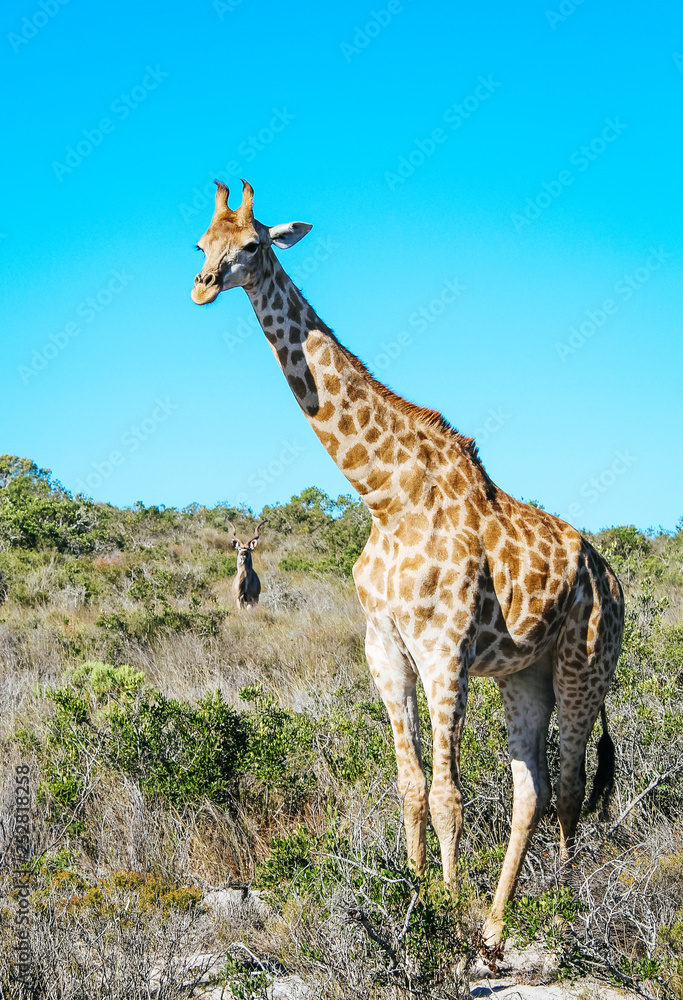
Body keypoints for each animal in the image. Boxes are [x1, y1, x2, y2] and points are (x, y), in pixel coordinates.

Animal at [190, 180, 624, 953]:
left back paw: (563, 909)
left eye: (252, 244)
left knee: (572, 785)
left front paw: (444, 919)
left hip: (586, 664)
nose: (203, 286)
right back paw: (496, 923)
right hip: (526, 675)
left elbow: (450, 792)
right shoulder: (384, 644)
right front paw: (418, 904)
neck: (384, 495)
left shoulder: (444, 646)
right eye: (201, 241)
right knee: (534, 789)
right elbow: (411, 785)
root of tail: (615, 580)